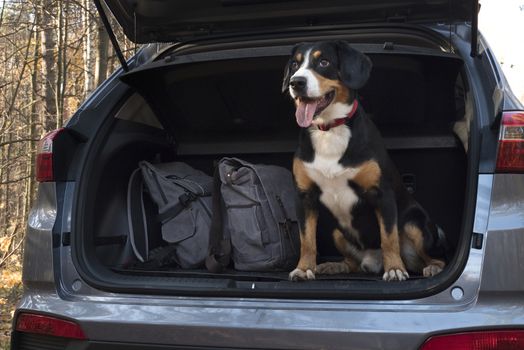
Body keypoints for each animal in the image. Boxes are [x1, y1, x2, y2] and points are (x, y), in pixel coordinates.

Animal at [284, 40, 448, 282]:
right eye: (295, 65)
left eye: (323, 62)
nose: (296, 82)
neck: (329, 130)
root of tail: (372, 260)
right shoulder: (304, 197)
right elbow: (307, 241)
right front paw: (304, 269)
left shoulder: (382, 194)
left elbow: (389, 238)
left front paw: (395, 269)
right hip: (337, 232)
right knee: (353, 263)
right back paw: (335, 266)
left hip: (414, 223)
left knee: (432, 258)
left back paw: (431, 267)